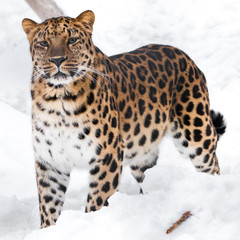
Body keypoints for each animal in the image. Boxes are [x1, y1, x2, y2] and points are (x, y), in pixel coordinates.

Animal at [21, 10, 226, 228]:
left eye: (72, 40)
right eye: (43, 43)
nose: (57, 59)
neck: (58, 99)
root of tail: (182, 54)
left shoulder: (107, 155)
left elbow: (97, 200)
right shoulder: (50, 162)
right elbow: (48, 205)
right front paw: (47, 230)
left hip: (197, 134)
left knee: (211, 164)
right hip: (142, 152)